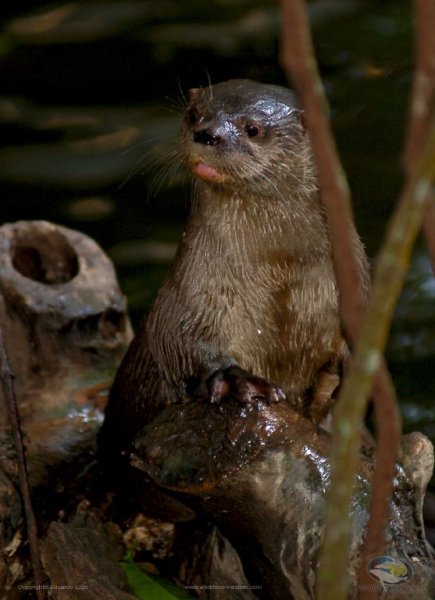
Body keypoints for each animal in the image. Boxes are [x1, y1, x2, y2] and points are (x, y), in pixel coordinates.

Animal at [101, 81, 372, 454]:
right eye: (194, 115)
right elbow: (180, 340)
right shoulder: (192, 292)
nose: (207, 133)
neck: (278, 270)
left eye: (253, 129)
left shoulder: (352, 284)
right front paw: (236, 379)